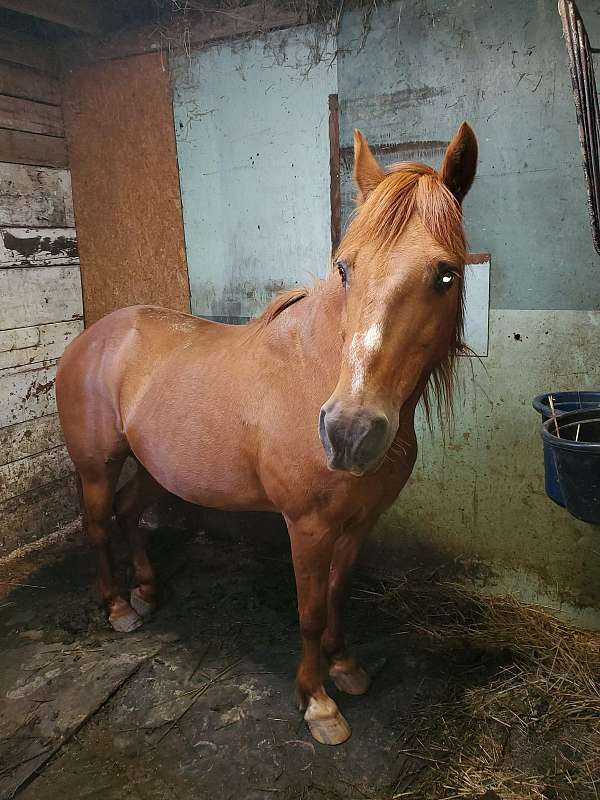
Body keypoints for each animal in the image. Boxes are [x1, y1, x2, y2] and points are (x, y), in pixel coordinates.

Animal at [56, 122, 477, 745]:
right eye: (345, 268)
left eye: (446, 274)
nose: (348, 433)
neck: (318, 373)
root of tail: (94, 335)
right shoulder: (307, 526)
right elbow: (308, 610)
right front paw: (317, 702)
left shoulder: (360, 522)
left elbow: (337, 594)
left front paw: (345, 666)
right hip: (95, 467)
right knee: (99, 525)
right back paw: (117, 608)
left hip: (157, 467)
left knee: (130, 513)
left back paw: (147, 592)